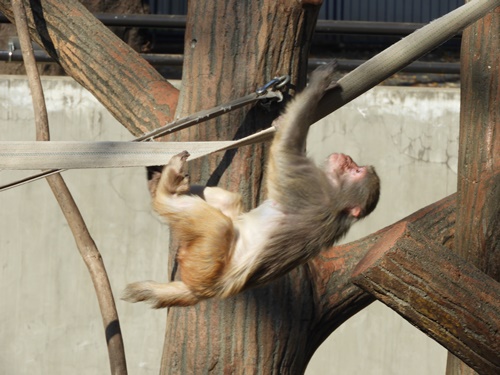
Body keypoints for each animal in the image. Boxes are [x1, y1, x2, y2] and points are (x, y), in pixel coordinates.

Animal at [124, 62, 378, 308]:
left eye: (355, 170)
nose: (348, 158)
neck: (339, 201)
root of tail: (204, 290)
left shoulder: (312, 185)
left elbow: (284, 149)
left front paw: (318, 83)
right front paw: (320, 91)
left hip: (203, 267)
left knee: (219, 226)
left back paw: (166, 190)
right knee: (229, 203)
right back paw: (166, 184)